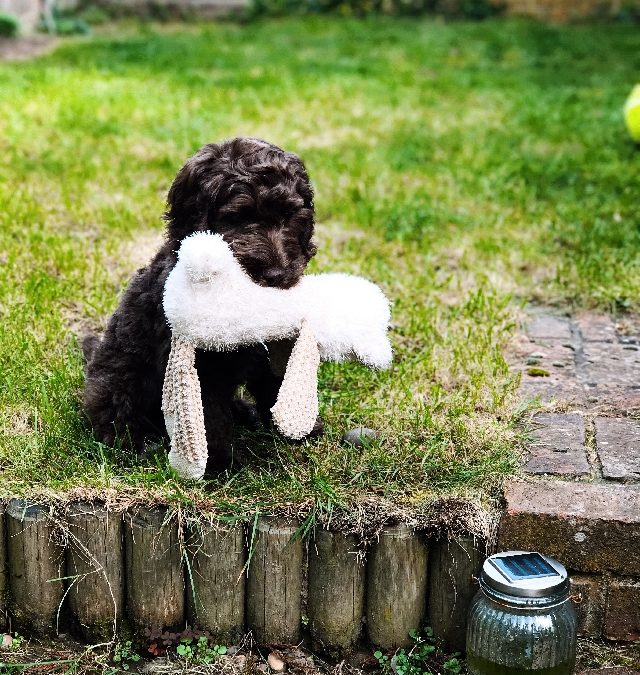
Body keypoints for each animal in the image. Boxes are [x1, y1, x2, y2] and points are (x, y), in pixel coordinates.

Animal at [82, 139, 318, 470]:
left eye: (288, 216)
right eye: (238, 217)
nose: (275, 276)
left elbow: (277, 384)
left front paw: (298, 428)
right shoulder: (203, 367)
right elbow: (209, 417)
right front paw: (217, 465)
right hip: (124, 374)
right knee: (111, 409)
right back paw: (135, 439)